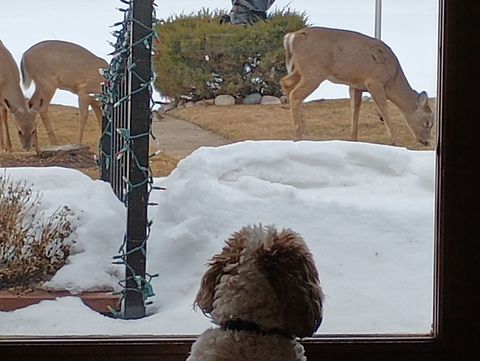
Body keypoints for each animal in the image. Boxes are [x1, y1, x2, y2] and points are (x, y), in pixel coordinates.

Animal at [282, 26, 436, 146]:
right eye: (427, 122)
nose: (426, 141)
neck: (393, 79)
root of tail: (292, 36)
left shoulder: (356, 85)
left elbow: (355, 110)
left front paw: (354, 139)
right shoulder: (374, 81)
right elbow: (384, 109)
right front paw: (394, 140)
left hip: (300, 70)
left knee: (286, 83)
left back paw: (302, 127)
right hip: (314, 72)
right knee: (295, 94)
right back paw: (298, 135)